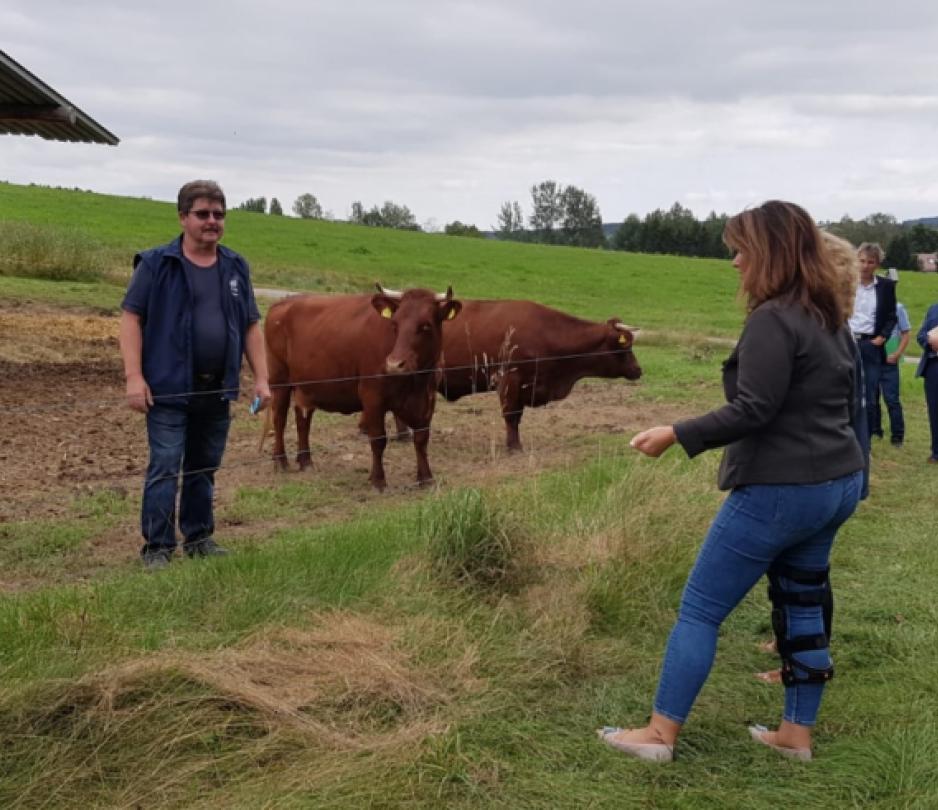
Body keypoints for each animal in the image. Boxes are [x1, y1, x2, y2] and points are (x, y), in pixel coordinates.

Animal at [430, 298, 636, 448]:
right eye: (625, 348)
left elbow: (518, 417)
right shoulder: (509, 381)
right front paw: (513, 446)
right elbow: (511, 415)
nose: (638, 369)